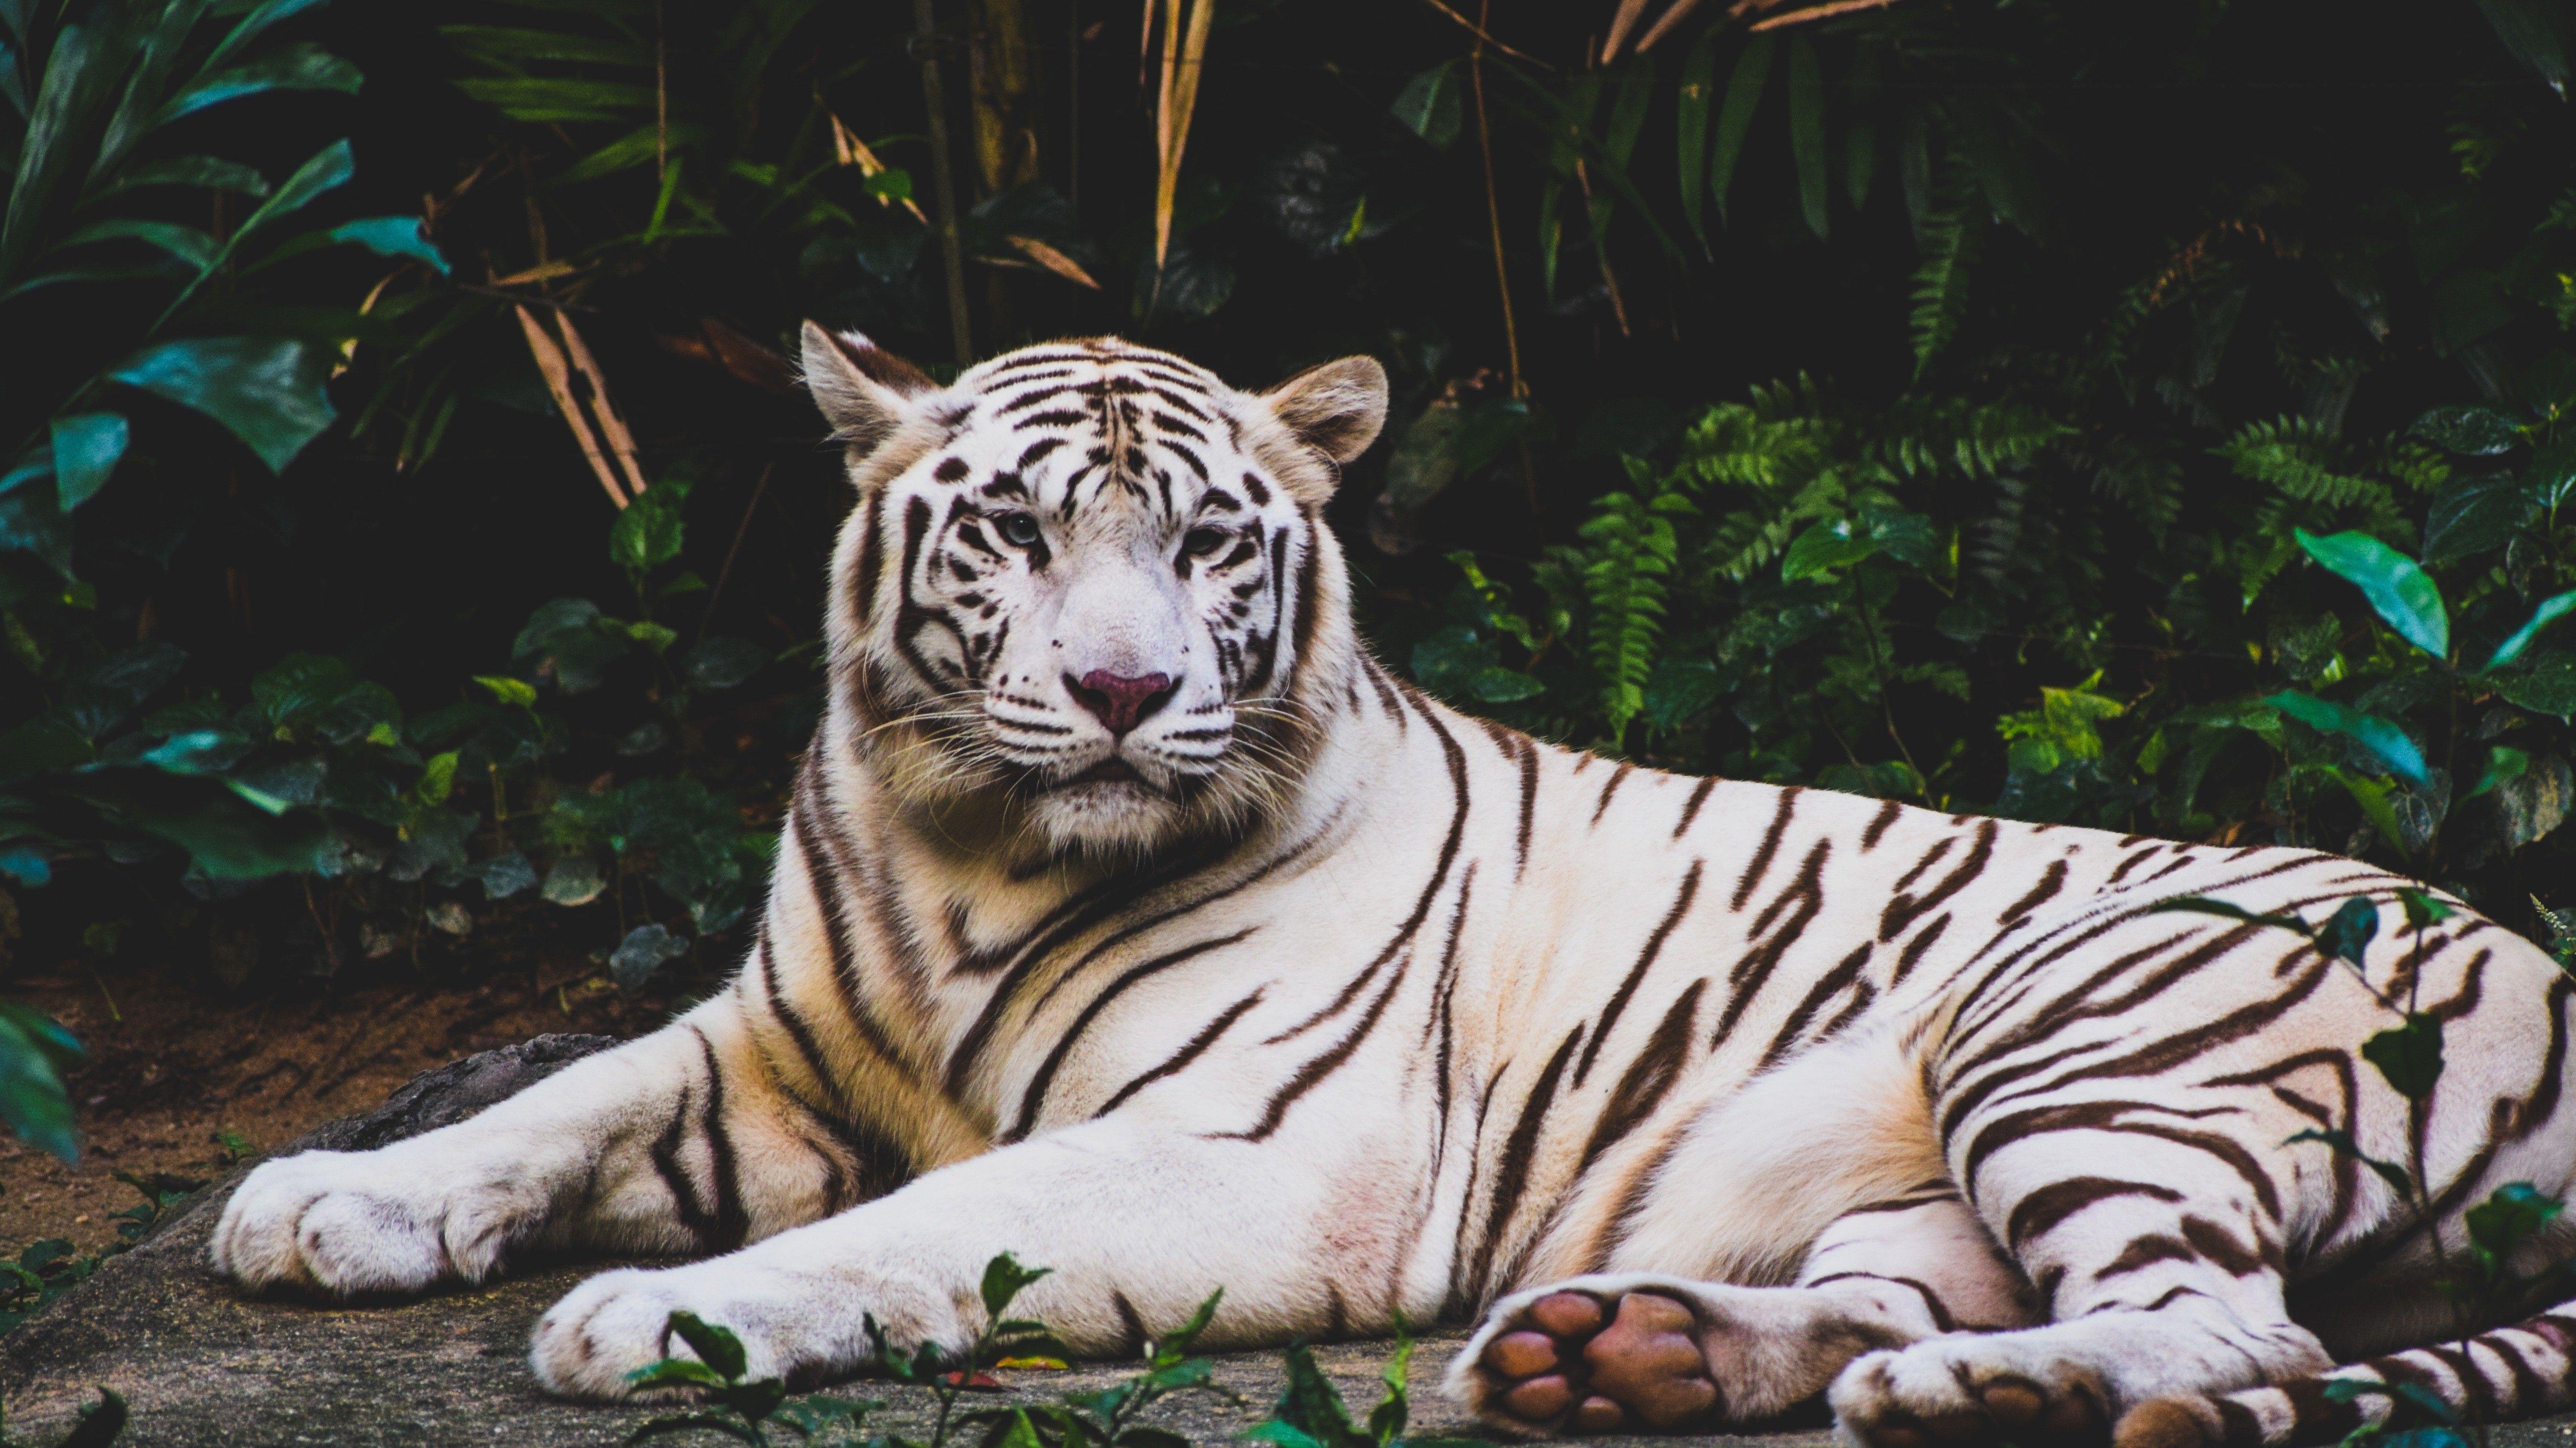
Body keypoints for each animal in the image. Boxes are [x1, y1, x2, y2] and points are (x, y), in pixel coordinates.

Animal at [207, 325, 2576, 1448]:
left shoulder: (1261, 1152)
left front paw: (645, 1314)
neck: (969, 849)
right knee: (1977, 1298)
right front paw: (319, 1198)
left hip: (2081, 1021)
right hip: (1922, 1171)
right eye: (1013, 533)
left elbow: (922, 1224)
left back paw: (1977, 1396)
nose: (1123, 688)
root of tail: (2537, 953)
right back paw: (1633, 1357)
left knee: (2232, 1332)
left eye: (1202, 542)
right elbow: (552, 1097)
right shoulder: (770, 1045)